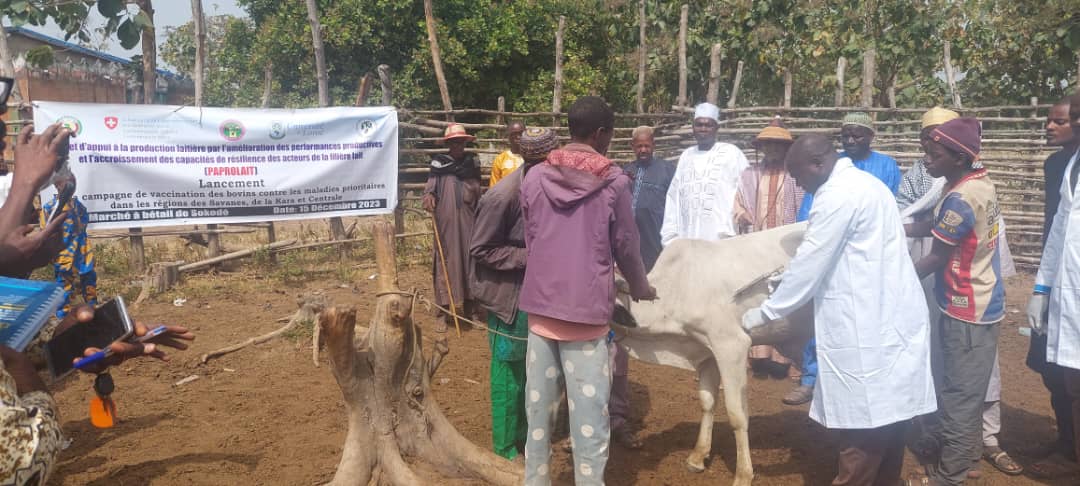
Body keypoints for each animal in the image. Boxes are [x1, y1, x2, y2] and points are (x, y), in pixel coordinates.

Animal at [609, 223, 812, 486]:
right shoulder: (707, 352)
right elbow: (707, 402)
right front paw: (698, 456)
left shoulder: (732, 346)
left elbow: (737, 415)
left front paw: (743, 474)